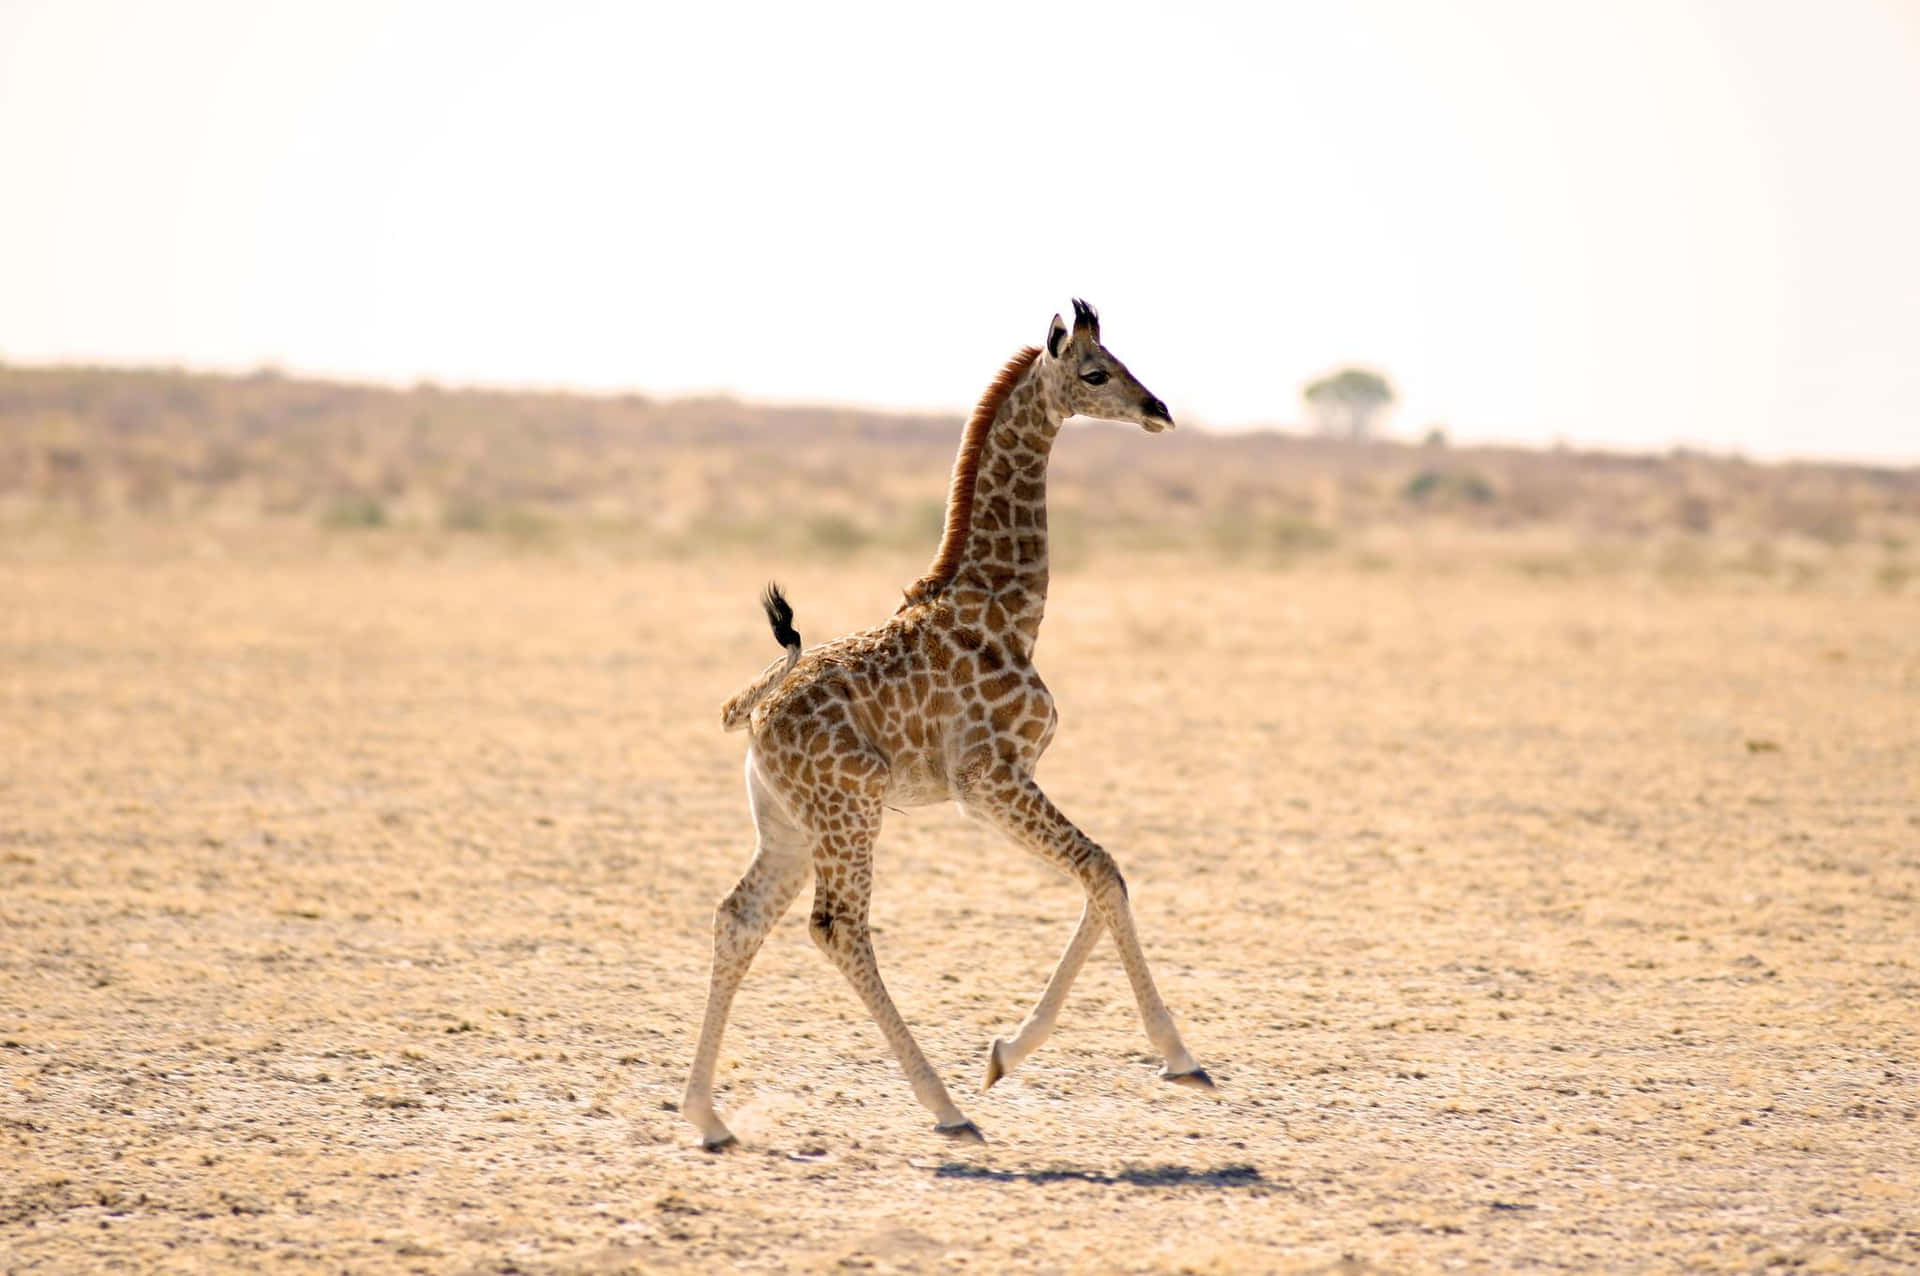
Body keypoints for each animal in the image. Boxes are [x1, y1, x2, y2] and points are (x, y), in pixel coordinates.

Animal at [683, 299, 1205, 1143]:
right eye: (1097, 372)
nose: (1158, 409)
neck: (1009, 610)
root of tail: (753, 716)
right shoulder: (989, 777)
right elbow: (1101, 869)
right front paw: (1174, 1056)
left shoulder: (999, 785)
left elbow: (1101, 875)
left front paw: (1007, 1052)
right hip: (852, 807)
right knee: (838, 928)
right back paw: (946, 1107)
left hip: (788, 823)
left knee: (740, 917)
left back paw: (706, 1116)